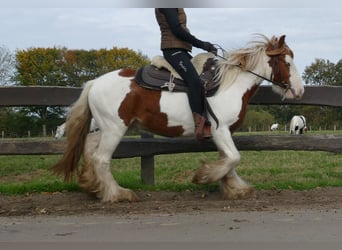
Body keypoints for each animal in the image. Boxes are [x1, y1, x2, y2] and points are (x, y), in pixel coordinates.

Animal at [51, 34, 304, 202]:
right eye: (287, 62)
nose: (299, 91)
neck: (229, 85)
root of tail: (94, 83)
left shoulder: (225, 133)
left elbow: (229, 159)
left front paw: (235, 188)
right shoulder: (220, 129)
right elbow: (233, 158)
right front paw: (204, 176)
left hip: (102, 129)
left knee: (89, 150)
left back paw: (92, 185)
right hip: (114, 129)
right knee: (102, 159)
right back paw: (118, 193)